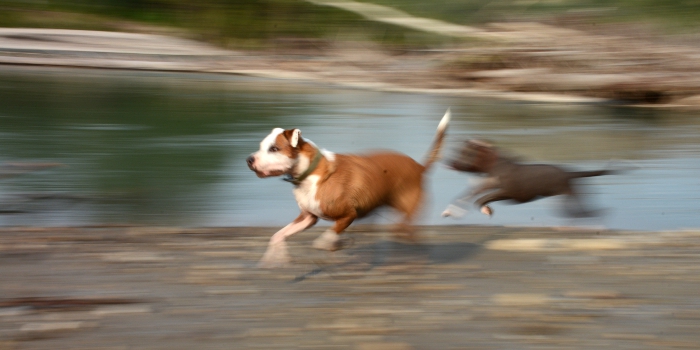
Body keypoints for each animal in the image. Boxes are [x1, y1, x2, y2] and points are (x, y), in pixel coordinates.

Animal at [246, 109, 452, 268]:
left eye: (274, 149)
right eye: (261, 146)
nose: (249, 159)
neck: (310, 172)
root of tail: (419, 167)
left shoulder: (348, 214)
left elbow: (329, 235)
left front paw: (330, 244)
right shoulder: (308, 218)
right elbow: (278, 235)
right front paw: (274, 257)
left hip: (406, 212)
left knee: (408, 234)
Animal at [446, 140, 616, 219]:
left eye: (467, 153)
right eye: (458, 151)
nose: (451, 163)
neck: (495, 167)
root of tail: (568, 173)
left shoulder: (508, 192)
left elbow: (481, 199)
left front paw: (486, 210)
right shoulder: (486, 186)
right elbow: (468, 196)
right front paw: (450, 211)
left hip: (567, 194)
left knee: (579, 211)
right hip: (569, 194)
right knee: (580, 210)